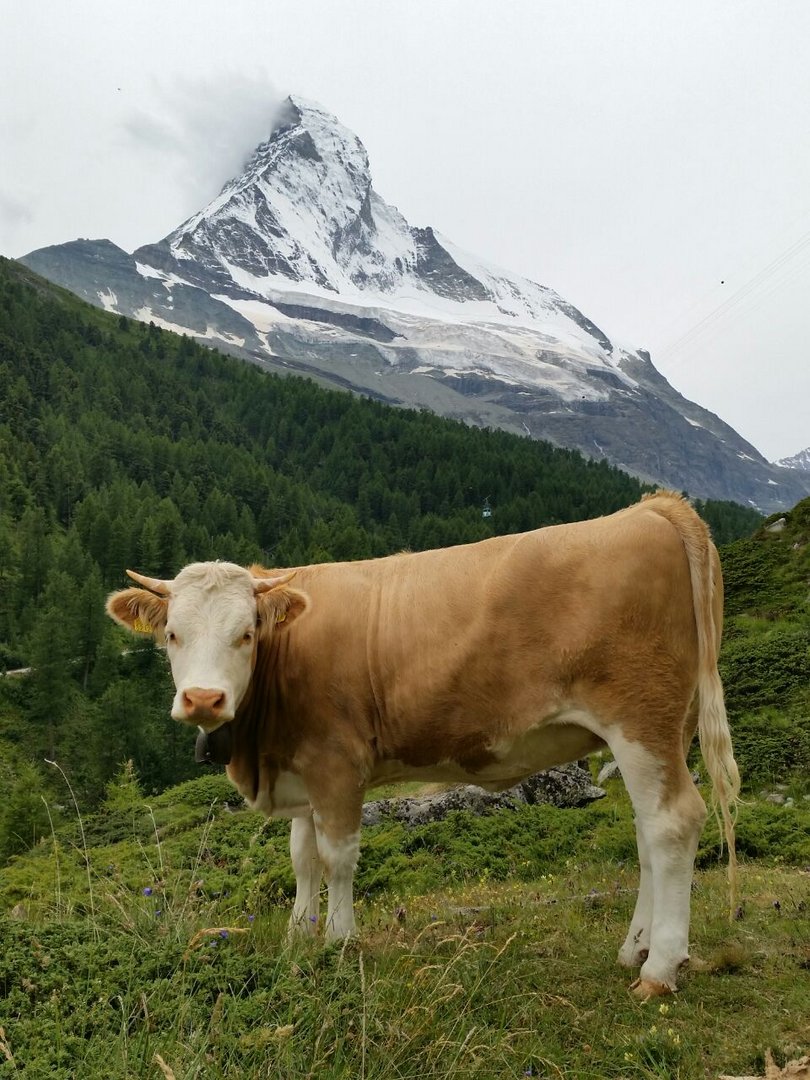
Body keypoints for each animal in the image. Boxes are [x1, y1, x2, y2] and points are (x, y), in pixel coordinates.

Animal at [108, 494, 743, 997]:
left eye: (246, 634)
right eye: (172, 634)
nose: (204, 699)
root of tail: (652, 508)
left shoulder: (337, 763)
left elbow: (338, 857)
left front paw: (338, 942)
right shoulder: (301, 769)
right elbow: (302, 858)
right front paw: (297, 937)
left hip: (641, 719)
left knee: (672, 823)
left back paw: (659, 968)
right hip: (665, 728)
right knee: (646, 833)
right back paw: (635, 948)